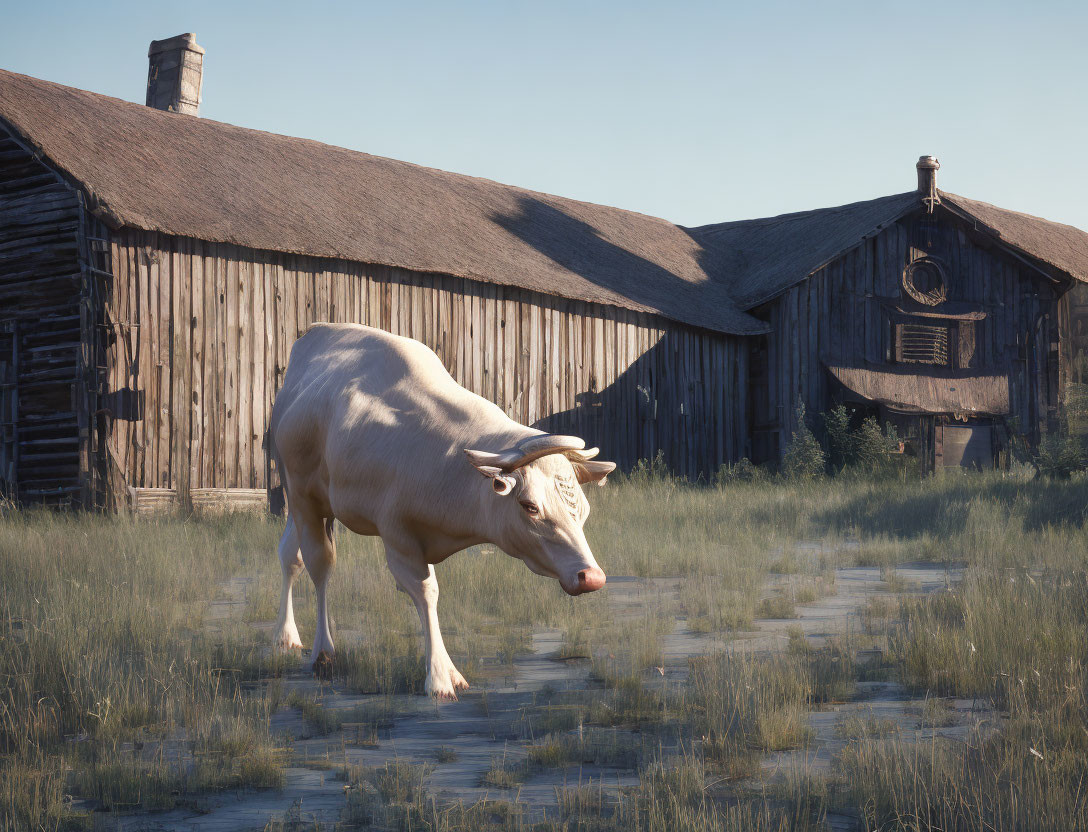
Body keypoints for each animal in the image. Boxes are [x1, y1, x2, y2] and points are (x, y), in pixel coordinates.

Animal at [268, 321, 617, 696]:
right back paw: (321, 651)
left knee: (290, 555)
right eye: (530, 507)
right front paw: (439, 676)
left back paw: (285, 637)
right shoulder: (397, 534)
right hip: (302, 494)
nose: (592, 576)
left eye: (583, 511)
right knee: (319, 564)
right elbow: (427, 592)